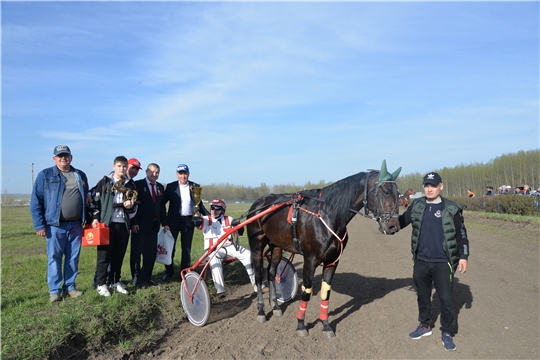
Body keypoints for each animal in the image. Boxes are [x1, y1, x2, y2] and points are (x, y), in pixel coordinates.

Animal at [248, 160, 400, 338]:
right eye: (386, 191)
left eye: (399, 193)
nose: (393, 226)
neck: (328, 216)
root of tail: (258, 203)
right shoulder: (310, 260)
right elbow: (306, 291)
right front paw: (301, 325)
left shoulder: (332, 261)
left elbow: (325, 292)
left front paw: (326, 325)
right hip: (257, 244)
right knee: (258, 276)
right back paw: (261, 311)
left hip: (277, 246)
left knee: (271, 273)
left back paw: (276, 306)